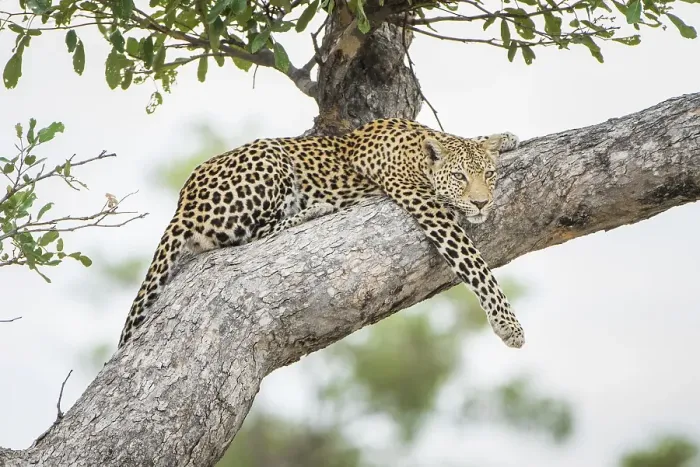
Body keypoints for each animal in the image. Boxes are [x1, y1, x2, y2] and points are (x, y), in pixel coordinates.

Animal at [118, 118, 525, 349]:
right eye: (459, 177)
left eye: (488, 175)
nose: (482, 203)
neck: (418, 150)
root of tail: (182, 202)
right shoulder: (424, 202)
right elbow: (474, 263)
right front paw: (509, 325)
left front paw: (502, 137)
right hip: (269, 157)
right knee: (249, 233)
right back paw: (314, 210)